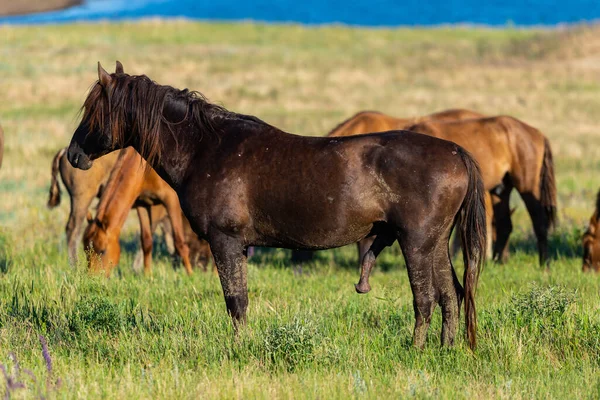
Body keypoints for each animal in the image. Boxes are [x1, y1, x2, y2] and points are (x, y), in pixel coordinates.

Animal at [65, 62, 488, 350]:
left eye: (94, 110)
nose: (72, 155)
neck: (206, 148)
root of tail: (456, 152)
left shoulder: (226, 242)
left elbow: (235, 301)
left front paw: (238, 349)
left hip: (416, 243)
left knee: (426, 299)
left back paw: (416, 349)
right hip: (434, 244)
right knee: (451, 295)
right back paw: (446, 349)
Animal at [408, 117, 556, 268]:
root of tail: (538, 134)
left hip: (527, 185)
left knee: (539, 222)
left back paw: (544, 263)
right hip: (501, 190)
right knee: (505, 225)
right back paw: (497, 262)